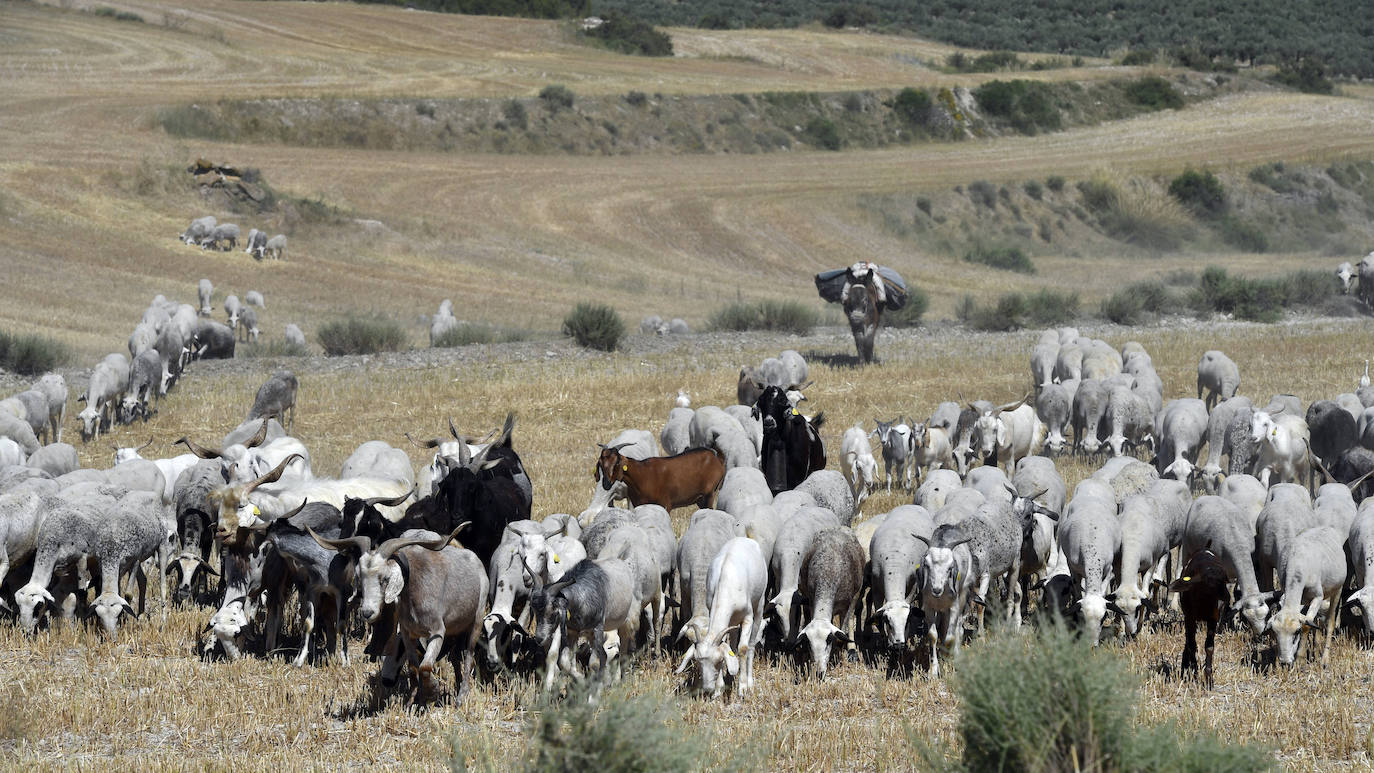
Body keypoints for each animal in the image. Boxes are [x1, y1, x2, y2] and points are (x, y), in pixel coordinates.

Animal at [676, 536, 767, 698]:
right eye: (698, 661)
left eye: (719, 660)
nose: (707, 688)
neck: (725, 582)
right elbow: (726, 645)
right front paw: (719, 690)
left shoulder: (747, 617)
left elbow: (743, 648)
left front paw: (742, 688)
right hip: (733, 620)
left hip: (759, 604)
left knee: (751, 644)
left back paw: (750, 682)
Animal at [796, 527, 864, 678]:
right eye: (809, 643)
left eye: (828, 640)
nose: (819, 673)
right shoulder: (811, 600)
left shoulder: (847, 605)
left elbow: (842, 632)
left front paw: (840, 651)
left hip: (857, 592)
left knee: (851, 619)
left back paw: (851, 650)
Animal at [1268, 526, 1346, 666]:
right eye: (1275, 633)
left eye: (1296, 632)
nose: (1285, 662)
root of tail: (1326, 527)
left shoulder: (1318, 597)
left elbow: (1306, 624)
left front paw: (1300, 659)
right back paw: (1316, 649)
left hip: (1337, 590)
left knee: (1329, 622)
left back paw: (1324, 659)